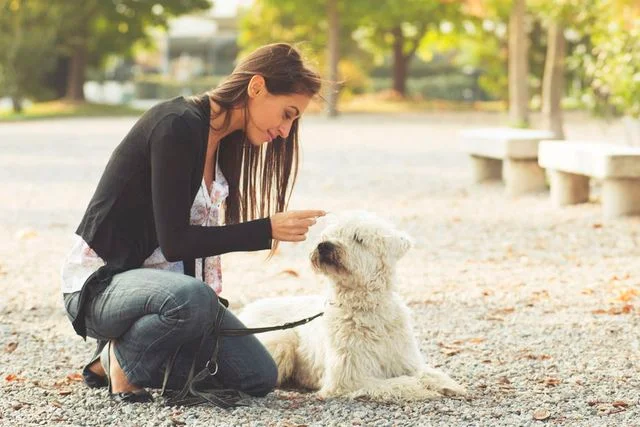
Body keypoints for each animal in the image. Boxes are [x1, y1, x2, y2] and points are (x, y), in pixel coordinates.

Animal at [238, 212, 468, 402]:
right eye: (329, 234)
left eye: (358, 238)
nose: (324, 245)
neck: (365, 307)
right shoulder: (350, 377)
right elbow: (399, 383)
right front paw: (421, 388)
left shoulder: (404, 360)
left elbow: (428, 373)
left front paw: (449, 385)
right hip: (281, 340)